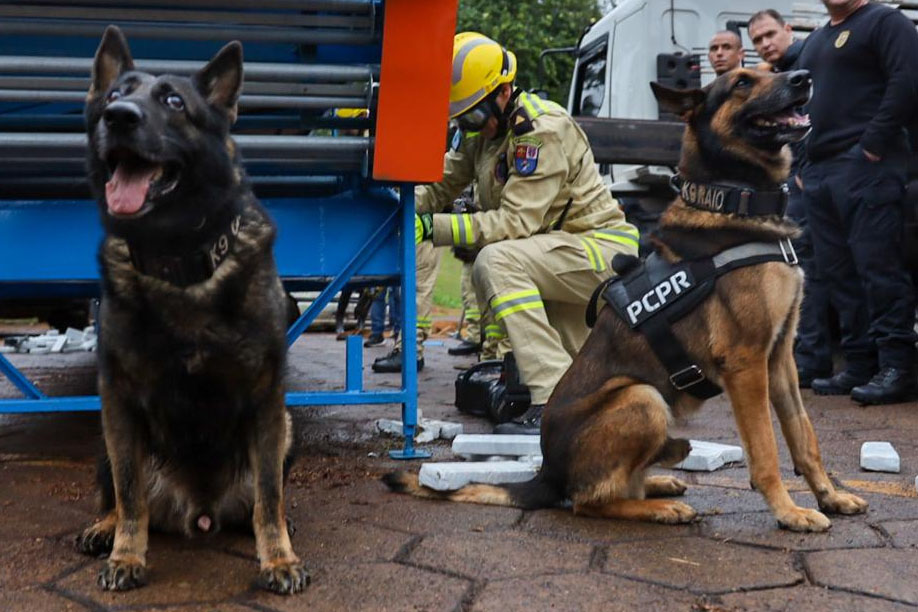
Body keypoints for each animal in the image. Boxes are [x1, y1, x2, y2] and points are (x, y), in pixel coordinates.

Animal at [73, 27, 310, 592]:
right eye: (114, 96)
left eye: (174, 103)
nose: (119, 117)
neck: (178, 261)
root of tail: (200, 512)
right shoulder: (119, 400)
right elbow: (130, 492)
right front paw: (127, 555)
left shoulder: (268, 401)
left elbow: (269, 496)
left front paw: (279, 559)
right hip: (106, 436)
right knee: (119, 495)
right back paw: (103, 529)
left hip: (285, 428)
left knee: (261, 499)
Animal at [386, 68, 868, 532]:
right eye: (743, 82)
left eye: (773, 69)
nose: (803, 77)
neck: (734, 200)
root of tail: (546, 473)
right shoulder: (747, 363)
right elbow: (766, 450)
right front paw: (788, 512)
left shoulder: (780, 358)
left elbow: (804, 437)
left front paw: (829, 496)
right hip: (643, 397)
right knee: (587, 501)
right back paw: (659, 506)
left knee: (610, 486)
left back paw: (661, 481)